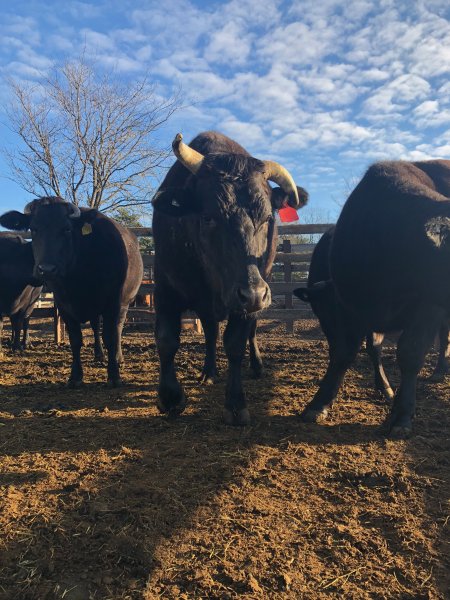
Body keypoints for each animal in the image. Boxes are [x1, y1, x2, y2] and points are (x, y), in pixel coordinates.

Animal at [0, 197, 143, 384]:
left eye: (67, 228)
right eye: (34, 228)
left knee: (117, 329)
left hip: (124, 304)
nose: (46, 269)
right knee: (95, 327)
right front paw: (75, 376)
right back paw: (99, 354)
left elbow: (111, 337)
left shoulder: (114, 303)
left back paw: (117, 357)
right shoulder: (64, 306)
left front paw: (114, 376)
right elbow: (76, 340)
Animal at [153, 129, 308, 424]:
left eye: (267, 218)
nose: (254, 293)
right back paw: (208, 371)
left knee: (251, 332)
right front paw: (170, 397)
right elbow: (167, 340)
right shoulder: (165, 286)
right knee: (211, 332)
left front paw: (236, 403)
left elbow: (236, 343)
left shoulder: (246, 303)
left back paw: (256, 366)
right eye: (208, 217)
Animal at [296, 159, 450, 436]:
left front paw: (401, 415)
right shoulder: (351, 306)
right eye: (321, 308)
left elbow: (411, 353)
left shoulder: (429, 307)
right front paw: (319, 403)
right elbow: (346, 352)